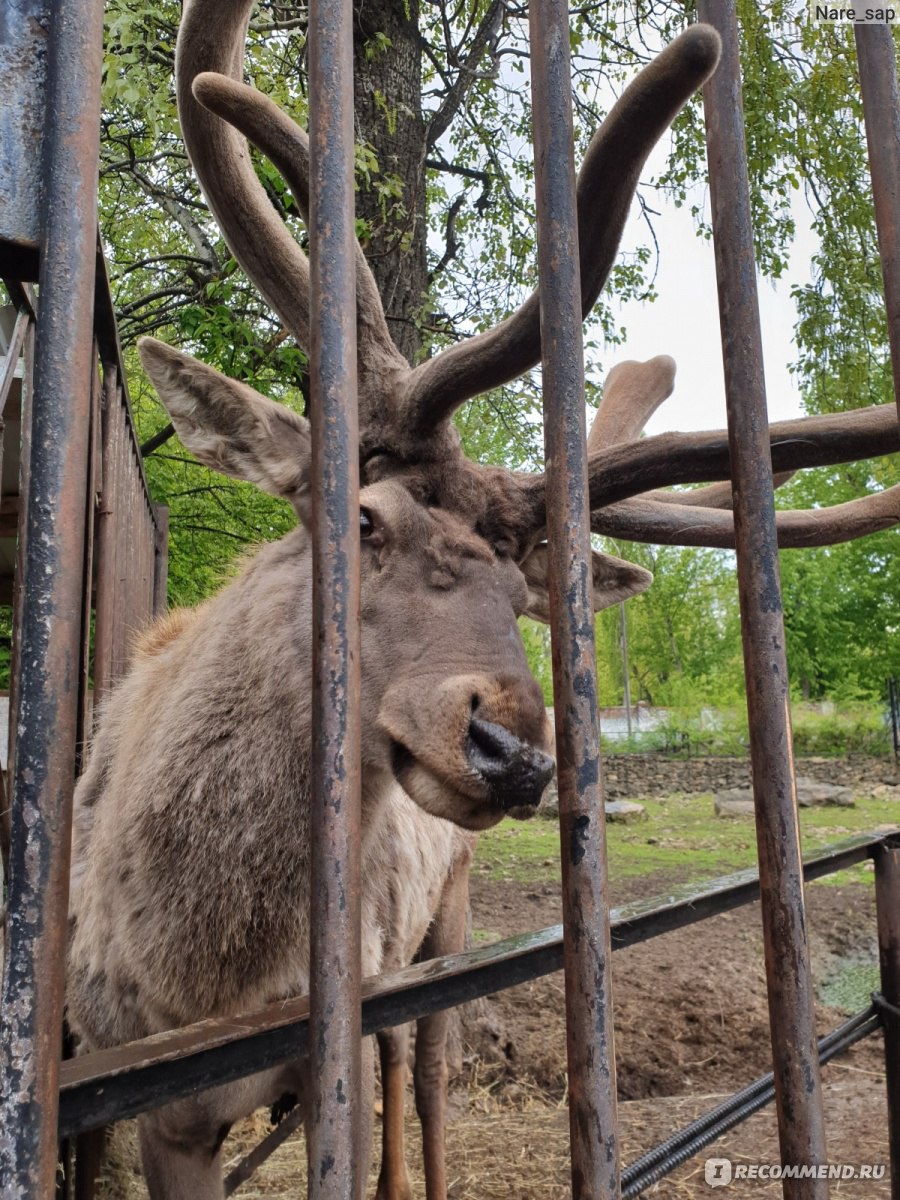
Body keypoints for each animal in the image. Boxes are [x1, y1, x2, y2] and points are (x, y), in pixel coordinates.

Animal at [63, 4, 900, 1195]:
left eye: (518, 585)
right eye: (362, 518)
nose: (514, 750)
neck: (198, 976)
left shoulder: (338, 1045)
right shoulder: (141, 1097)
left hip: (439, 926)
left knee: (423, 1073)